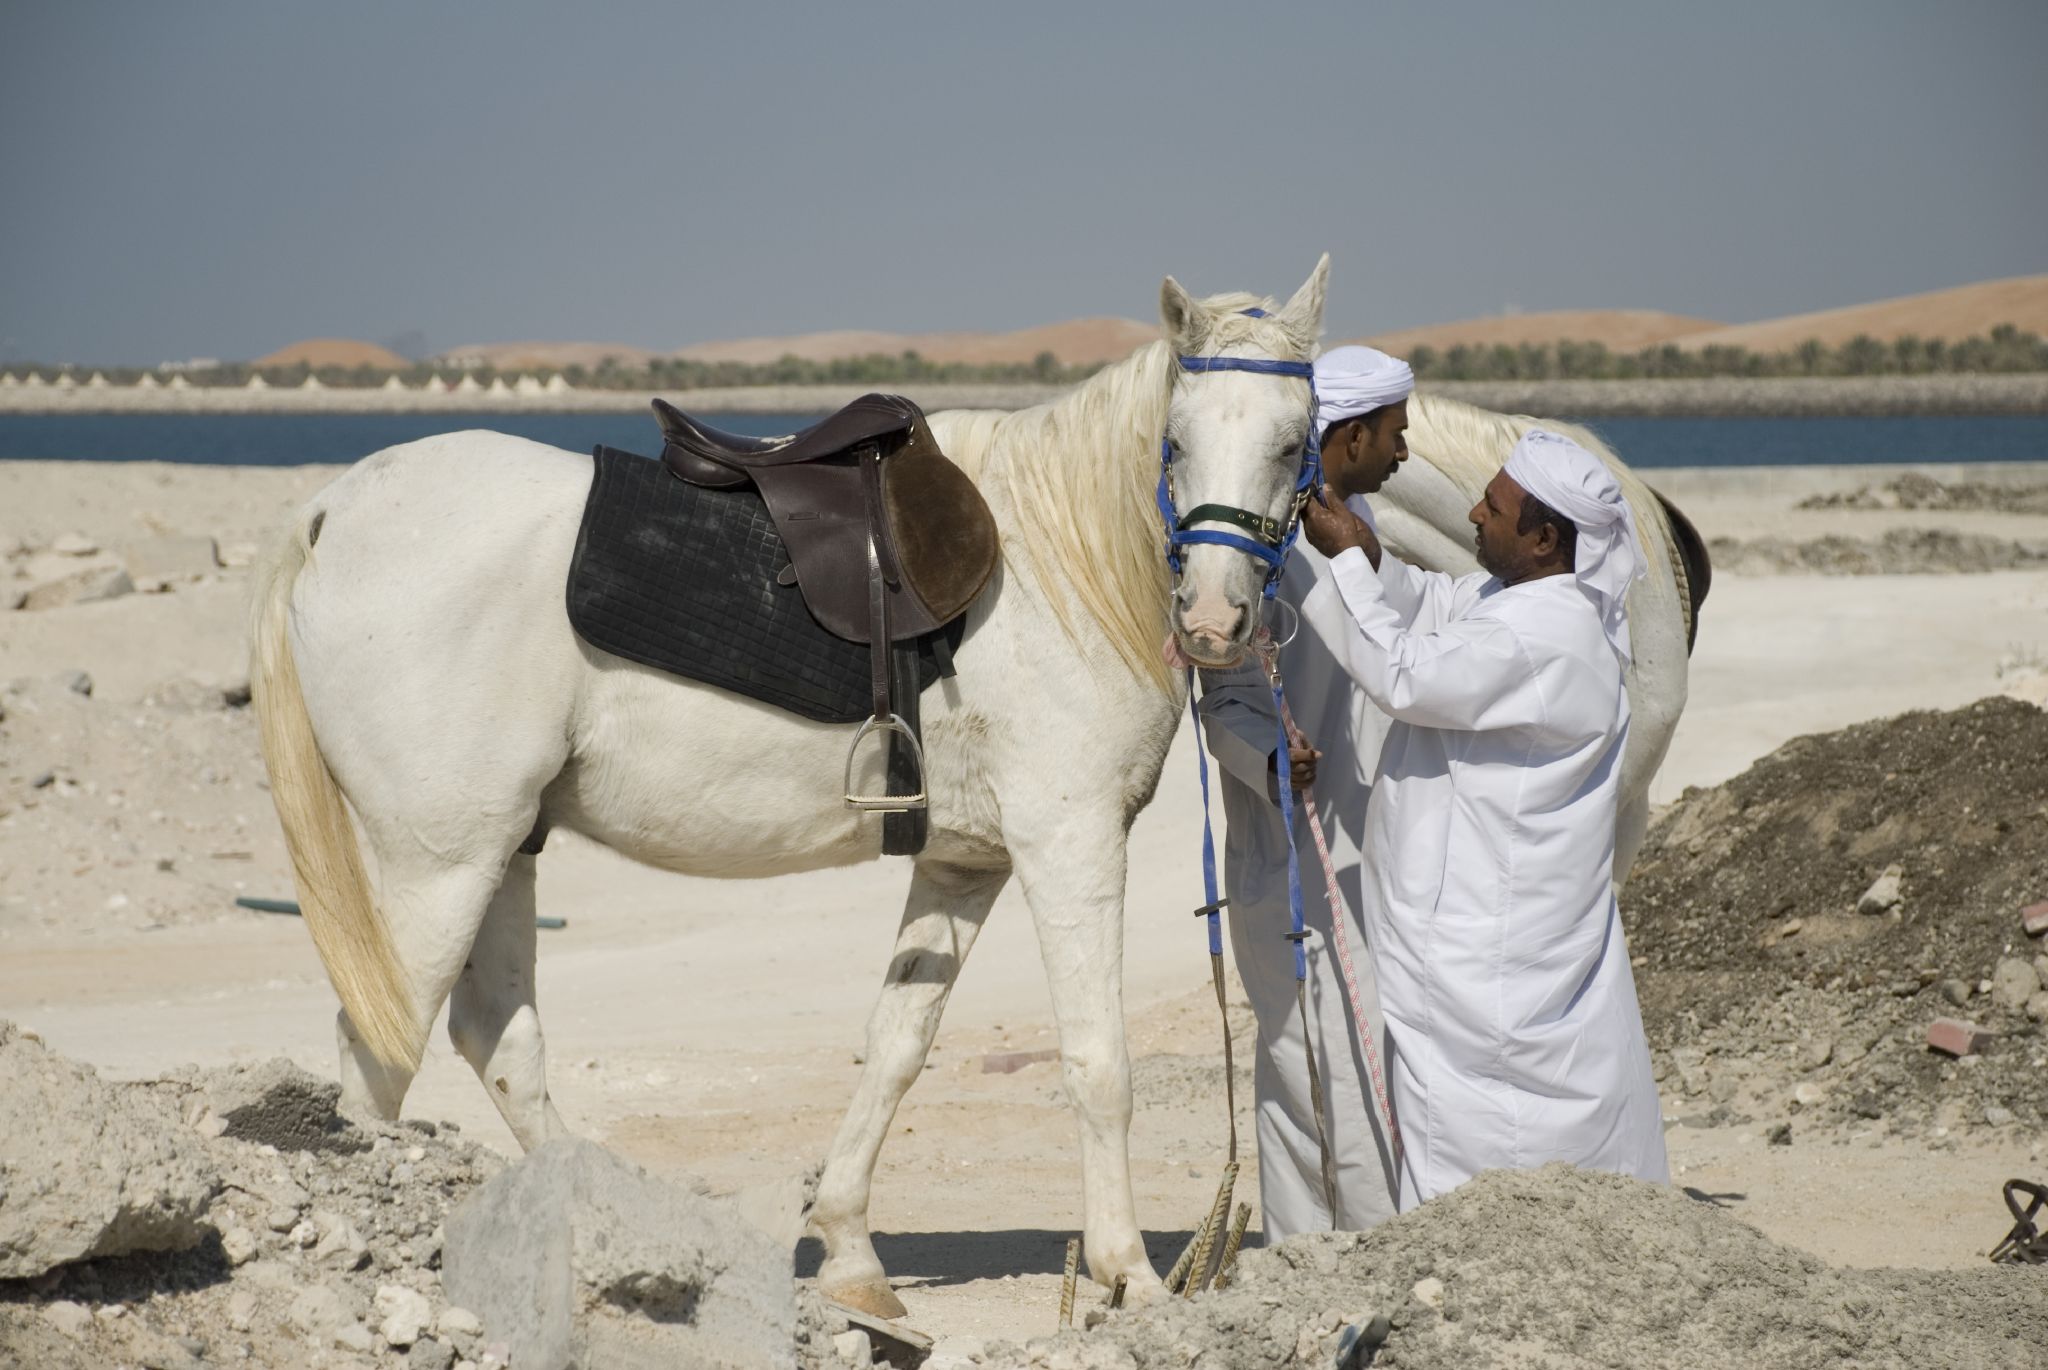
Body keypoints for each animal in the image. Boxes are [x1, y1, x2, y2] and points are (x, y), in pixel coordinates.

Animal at [247, 255, 1703, 1310]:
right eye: (1179, 438)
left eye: (1297, 439)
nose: (1219, 619)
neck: (1063, 559)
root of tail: (335, 507)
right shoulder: (1069, 848)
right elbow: (1099, 1061)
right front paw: (1122, 1275)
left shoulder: (964, 861)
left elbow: (895, 1045)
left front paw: (851, 1257)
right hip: (435, 861)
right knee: (383, 1058)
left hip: (503, 848)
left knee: (499, 1041)